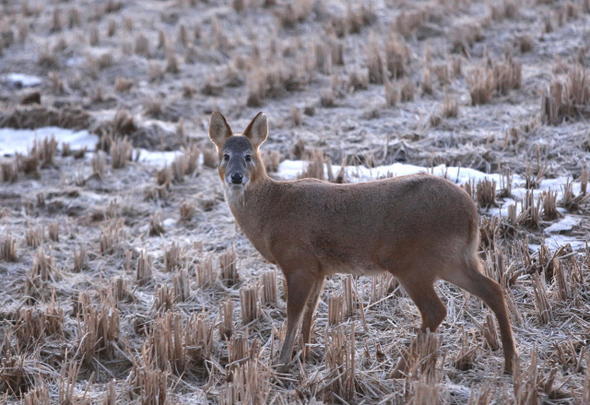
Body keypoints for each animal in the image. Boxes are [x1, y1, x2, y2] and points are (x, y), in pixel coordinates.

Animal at [208, 111, 520, 376]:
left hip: (413, 262)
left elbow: (294, 313)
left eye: (249, 156)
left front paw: (282, 363)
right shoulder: (319, 268)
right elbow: (310, 313)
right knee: (493, 289)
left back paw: (398, 370)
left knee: (436, 310)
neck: (270, 213)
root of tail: (471, 213)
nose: (236, 176)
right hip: (453, 259)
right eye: (225, 155)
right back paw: (509, 362)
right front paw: (304, 356)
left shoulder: (297, 260)